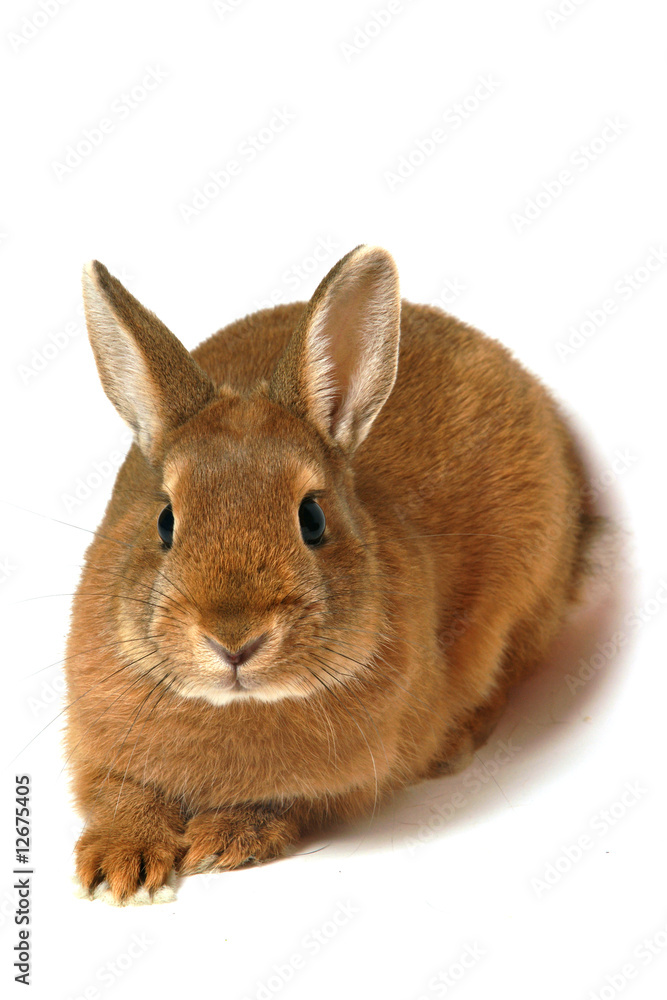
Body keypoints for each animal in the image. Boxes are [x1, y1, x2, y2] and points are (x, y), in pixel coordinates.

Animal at [65, 244, 597, 904]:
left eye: (312, 518)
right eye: (164, 520)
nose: (234, 640)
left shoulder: (347, 782)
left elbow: (290, 802)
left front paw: (222, 839)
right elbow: (122, 793)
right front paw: (121, 865)